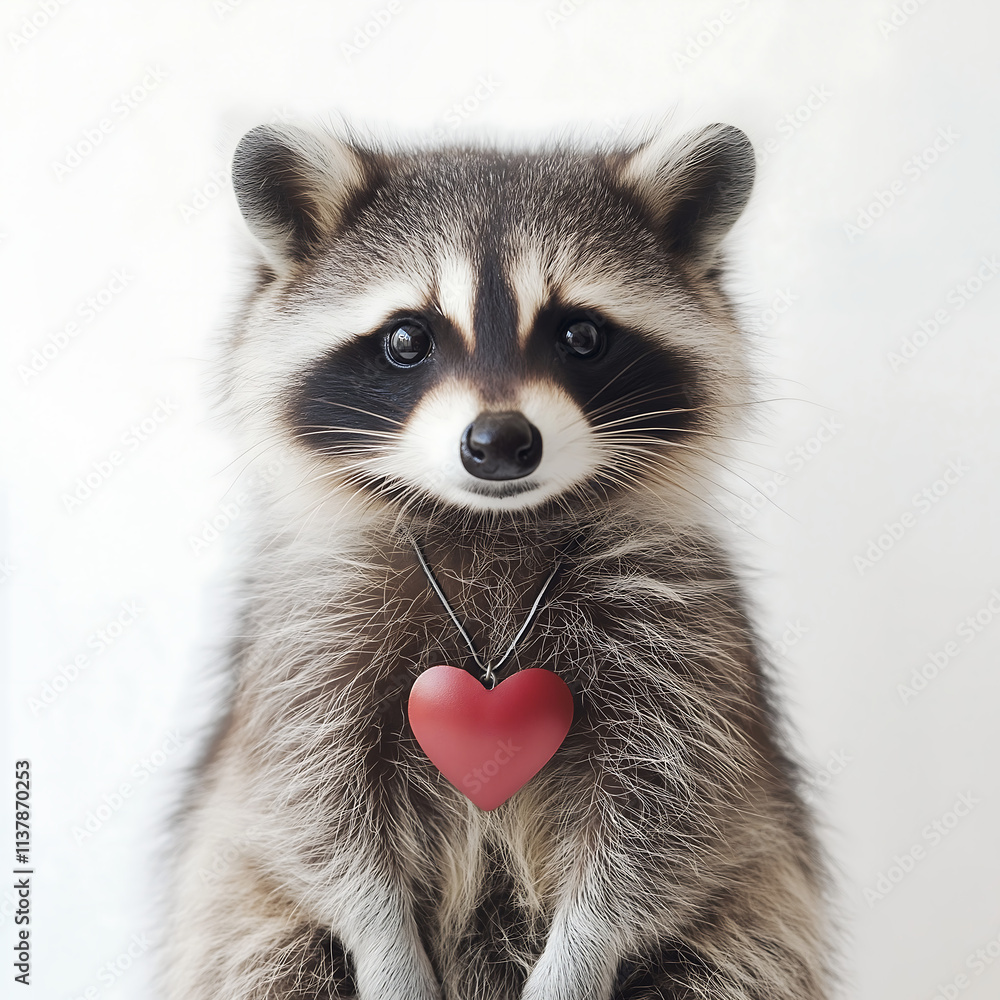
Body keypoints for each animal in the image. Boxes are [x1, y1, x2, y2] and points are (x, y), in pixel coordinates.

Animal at [165, 120, 830, 1000]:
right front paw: (384, 947)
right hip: (251, 921)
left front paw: (581, 955)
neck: (492, 524)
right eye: (406, 338)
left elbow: (663, 825)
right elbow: (315, 814)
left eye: (580, 335)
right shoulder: (311, 631)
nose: (501, 442)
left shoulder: (679, 635)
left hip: (747, 922)